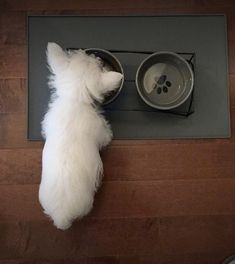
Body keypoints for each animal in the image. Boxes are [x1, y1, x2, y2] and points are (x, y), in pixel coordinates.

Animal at [39, 42, 123, 229]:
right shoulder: (99, 130)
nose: (97, 56)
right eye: (98, 64)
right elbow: (105, 136)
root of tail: (61, 216)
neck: (74, 98)